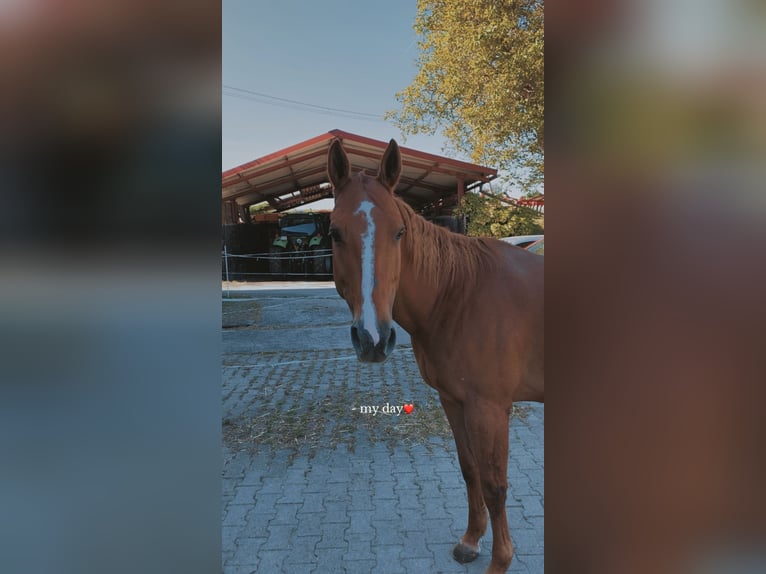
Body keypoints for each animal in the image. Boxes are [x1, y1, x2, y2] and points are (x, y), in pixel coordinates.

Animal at [327, 138, 544, 574]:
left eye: (399, 232)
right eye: (335, 233)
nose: (373, 338)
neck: (462, 294)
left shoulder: (490, 408)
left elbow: (495, 485)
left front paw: (499, 561)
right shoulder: (453, 400)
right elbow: (469, 469)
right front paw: (471, 541)